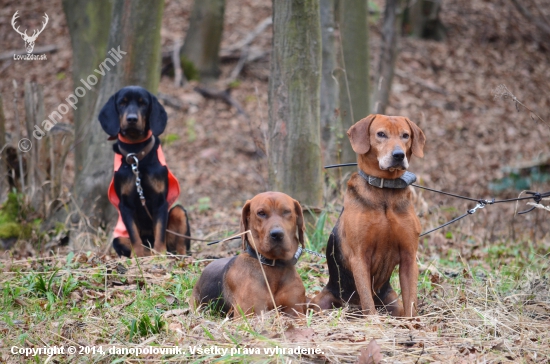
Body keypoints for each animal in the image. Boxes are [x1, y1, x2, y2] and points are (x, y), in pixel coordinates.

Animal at [99, 85, 192, 258]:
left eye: (143, 103)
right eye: (122, 103)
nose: (132, 119)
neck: (137, 155)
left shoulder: (160, 202)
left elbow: (160, 232)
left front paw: (160, 255)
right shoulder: (125, 205)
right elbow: (134, 235)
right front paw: (138, 256)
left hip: (179, 213)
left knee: (181, 245)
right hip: (118, 239)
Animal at [314, 114, 426, 316]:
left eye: (405, 135)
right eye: (381, 134)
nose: (399, 155)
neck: (385, 192)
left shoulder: (409, 256)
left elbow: (411, 302)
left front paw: (414, 323)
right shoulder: (359, 256)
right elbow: (367, 300)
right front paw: (374, 322)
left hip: (392, 301)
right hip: (318, 302)